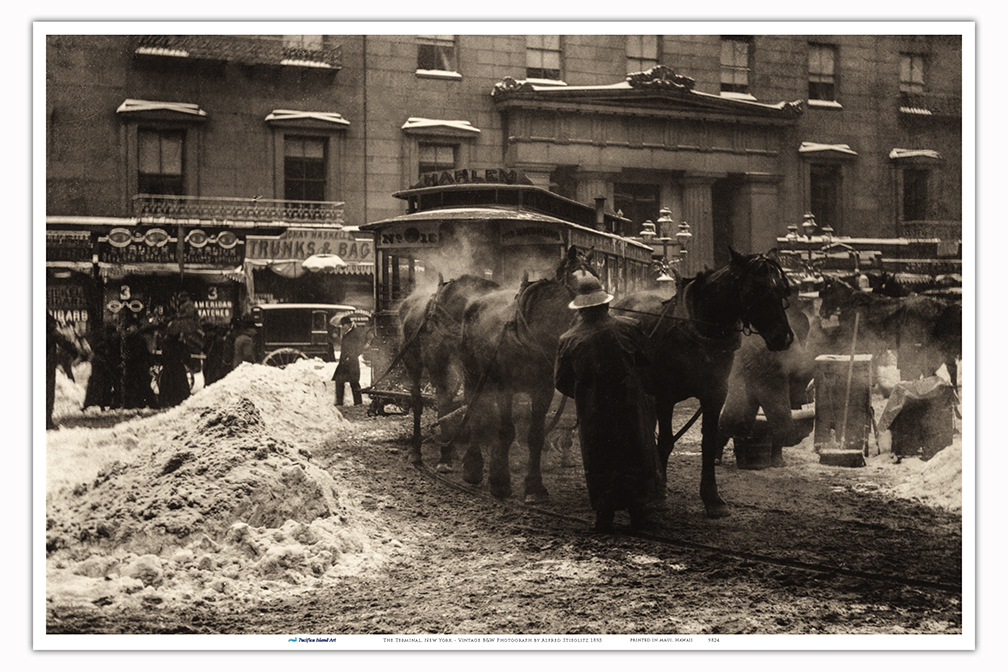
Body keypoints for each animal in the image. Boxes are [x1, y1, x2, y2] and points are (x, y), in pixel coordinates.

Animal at [397, 274, 499, 467]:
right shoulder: (440, 370)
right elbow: (443, 406)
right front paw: (444, 458)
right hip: (412, 362)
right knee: (417, 402)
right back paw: (416, 450)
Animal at [457, 245, 588, 499]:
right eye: (579, 279)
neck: (531, 333)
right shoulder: (504, 388)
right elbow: (506, 431)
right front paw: (500, 482)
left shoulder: (543, 391)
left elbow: (535, 435)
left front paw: (534, 486)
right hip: (473, 376)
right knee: (476, 413)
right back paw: (473, 467)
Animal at [604, 249, 794, 519]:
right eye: (756, 289)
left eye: (781, 289)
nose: (784, 337)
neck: (700, 329)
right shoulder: (666, 396)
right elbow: (666, 442)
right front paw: (660, 495)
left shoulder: (714, 395)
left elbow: (708, 442)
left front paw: (712, 498)